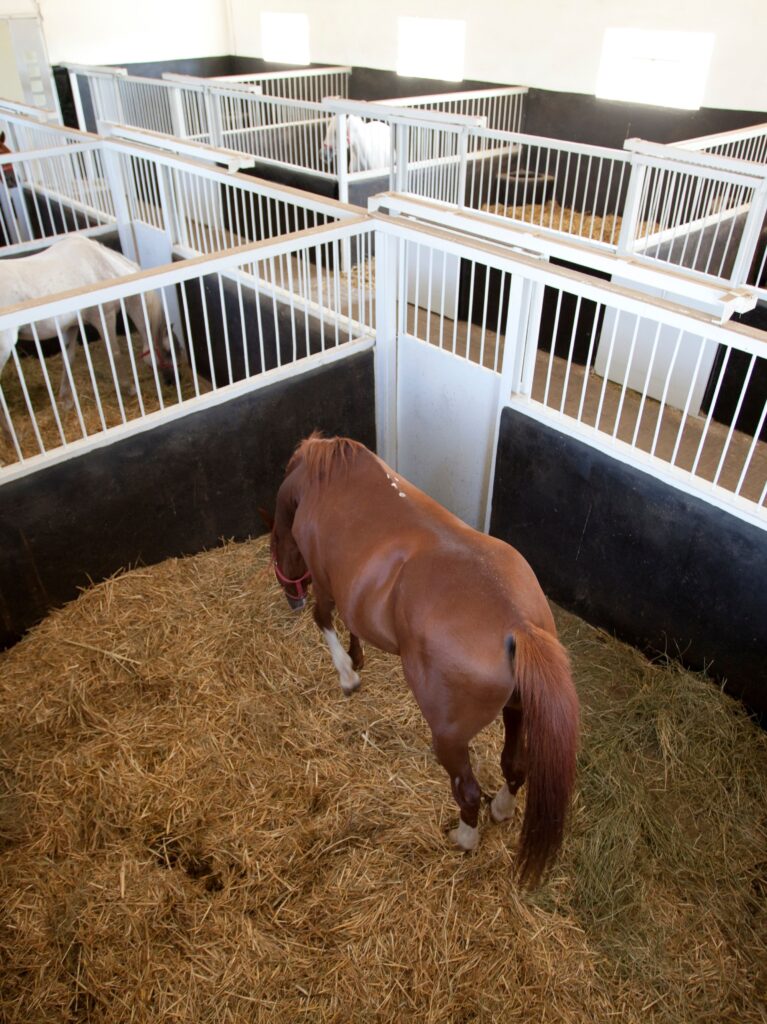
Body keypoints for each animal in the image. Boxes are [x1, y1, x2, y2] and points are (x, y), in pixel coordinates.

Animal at [0, 234, 178, 405]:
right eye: (169, 351)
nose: (174, 380)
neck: (104, 264)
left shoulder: (71, 327)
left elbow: (68, 358)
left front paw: (66, 399)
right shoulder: (104, 317)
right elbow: (114, 353)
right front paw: (130, 388)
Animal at [270, 435, 580, 886]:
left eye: (277, 549)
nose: (290, 598)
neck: (323, 481)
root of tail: (518, 624)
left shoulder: (326, 583)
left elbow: (324, 619)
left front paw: (347, 674)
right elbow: (351, 624)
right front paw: (357, 658)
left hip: (449, 738)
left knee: (467, 790)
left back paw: (464, 838)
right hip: (518, 711)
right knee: (515, 766)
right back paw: (501, 810)